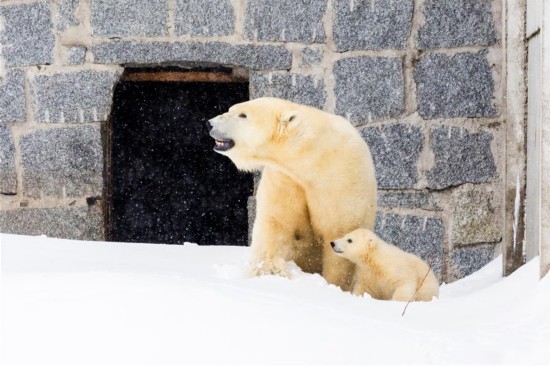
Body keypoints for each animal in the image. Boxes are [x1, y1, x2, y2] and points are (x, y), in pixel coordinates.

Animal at [209, 98, 378, 292]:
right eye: (231, 109)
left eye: (243, 115)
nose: (209, 123)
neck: (313, 156)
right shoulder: (286, 178)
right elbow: (277, 221)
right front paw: (270, 272)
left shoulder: (341, 178)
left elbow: (339, 232)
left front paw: (334, 284)